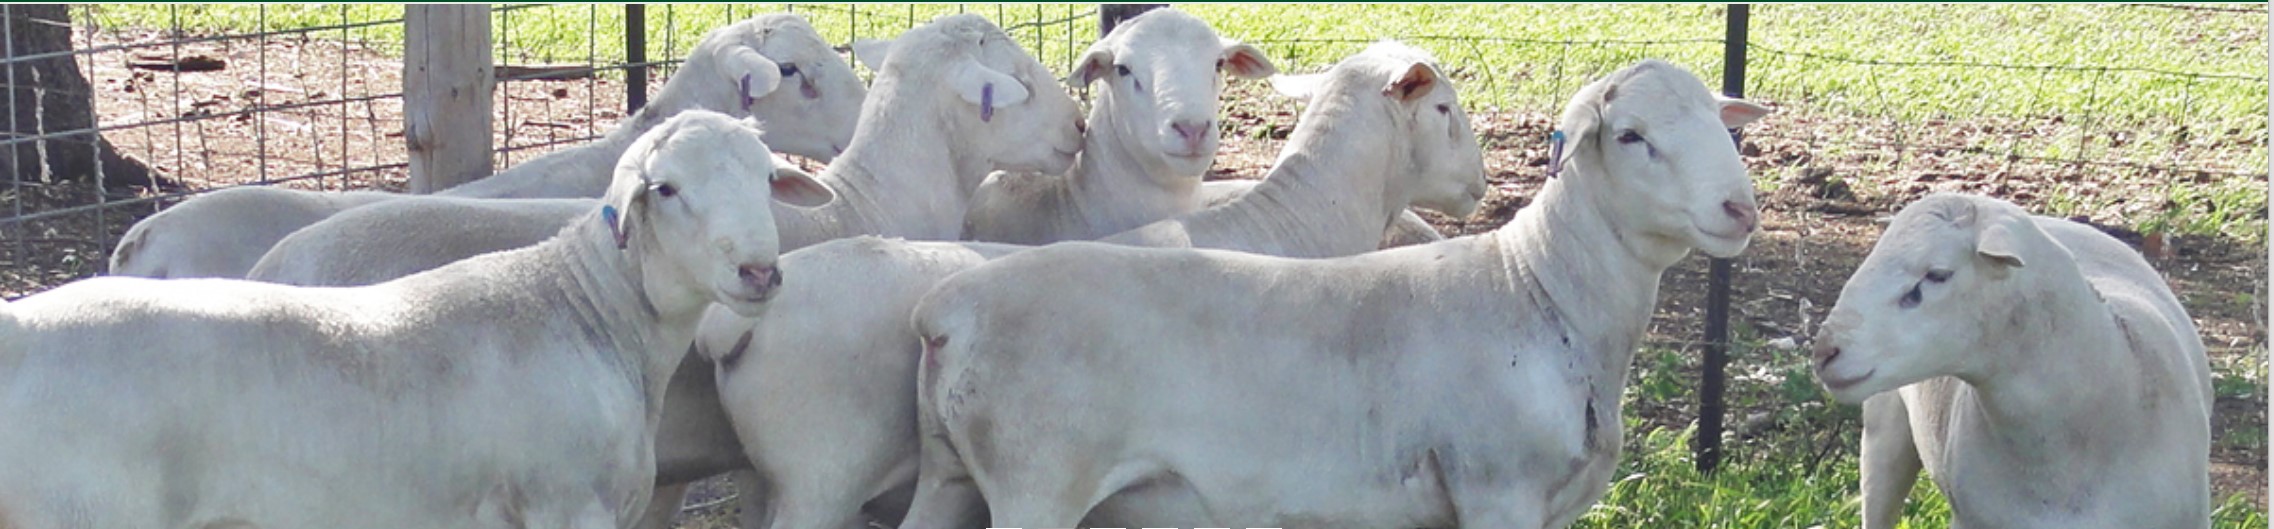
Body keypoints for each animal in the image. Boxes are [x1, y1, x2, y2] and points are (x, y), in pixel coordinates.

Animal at [891, 57, 1773, 529]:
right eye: (1630, 136)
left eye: (1720, 123)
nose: (1741, 208)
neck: (1538, 288)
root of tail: (947, 310)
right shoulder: (1498, 490)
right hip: (1036, 480)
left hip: (948, 476)